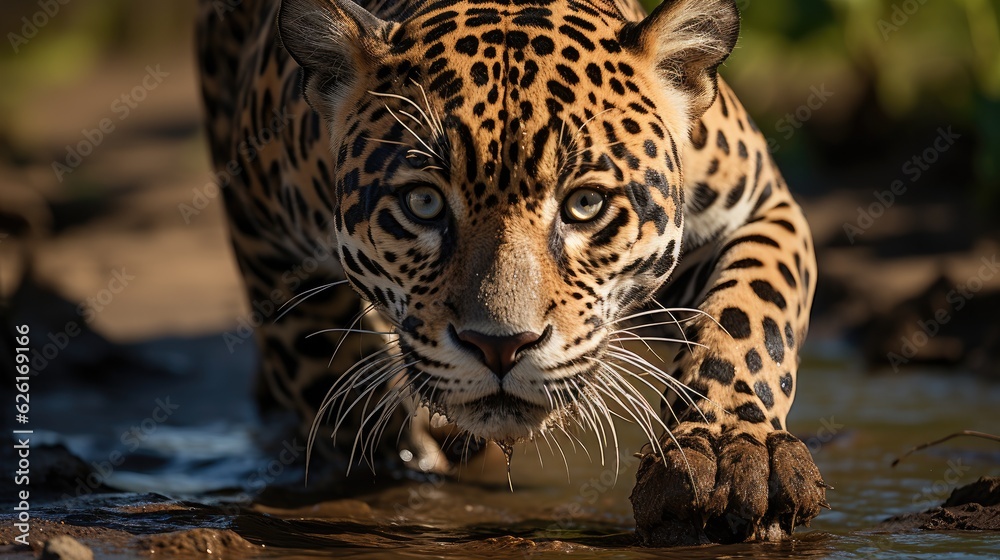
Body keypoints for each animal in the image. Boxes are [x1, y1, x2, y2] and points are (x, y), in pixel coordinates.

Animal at [196, 0, 828, 546]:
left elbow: (749, 317)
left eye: (585, 205)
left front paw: (727, 452)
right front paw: (403, 471)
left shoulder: (760, 205)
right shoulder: (264, 233)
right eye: (423, 204)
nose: (499, 346)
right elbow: (328, 377)